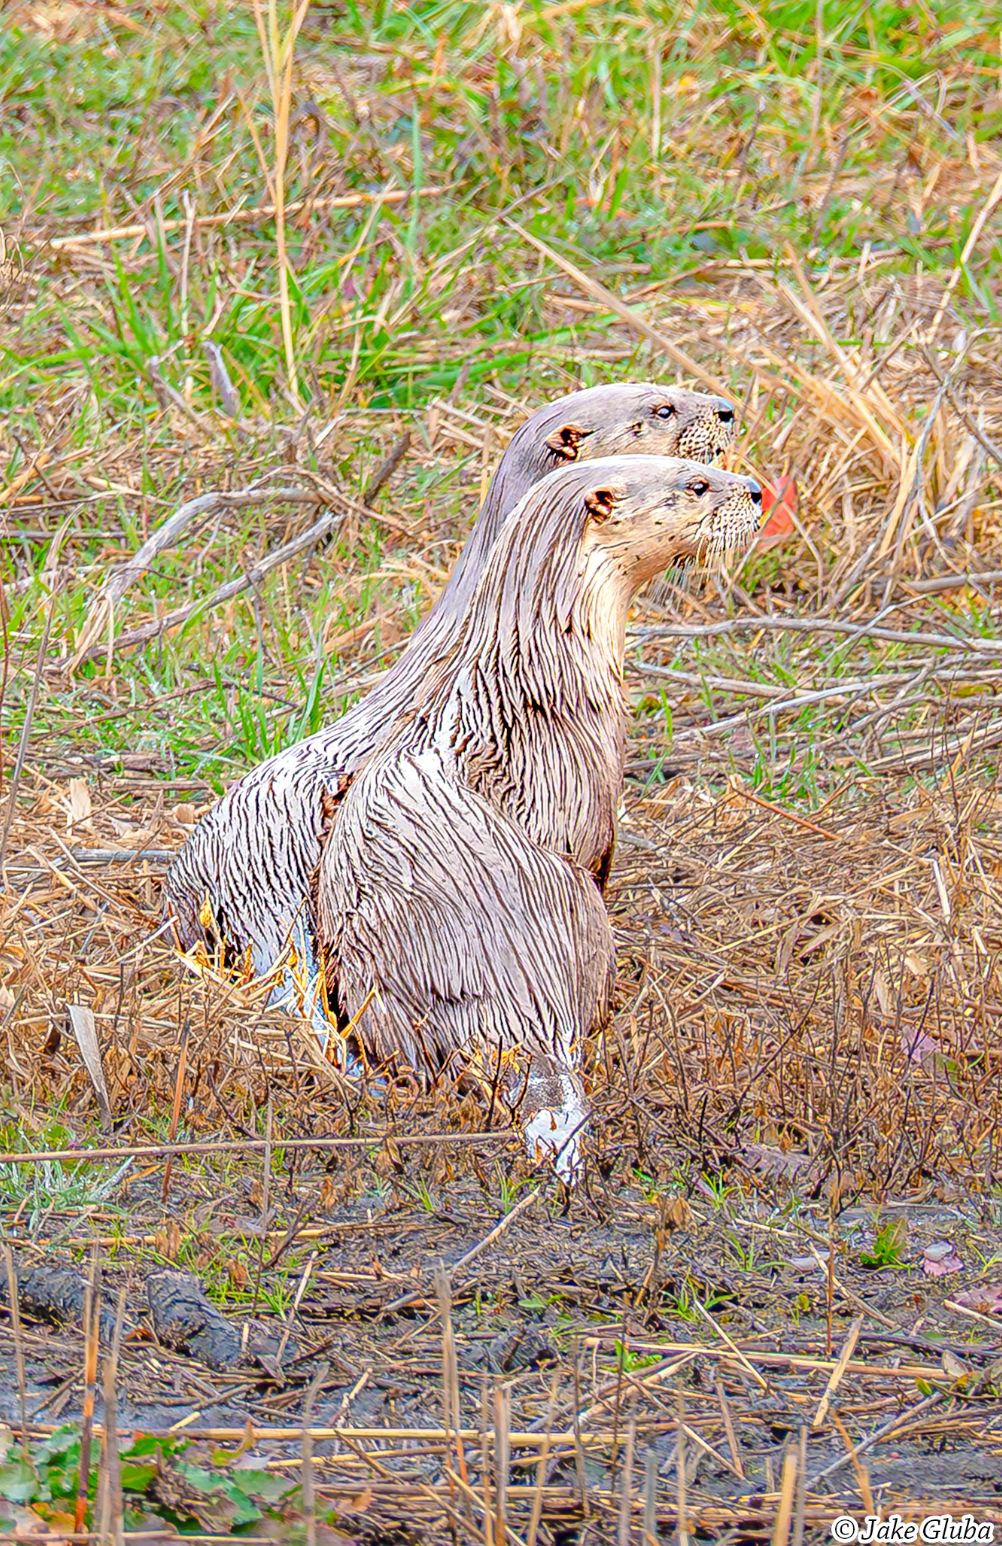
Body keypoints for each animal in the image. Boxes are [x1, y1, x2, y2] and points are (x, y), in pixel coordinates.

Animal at [315, 457, 763, 1172]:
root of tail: (506, 989)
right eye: (694, 484)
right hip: (579, 921)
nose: (756, 491)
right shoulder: (593, 783)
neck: (543, 670)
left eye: (703, 464)